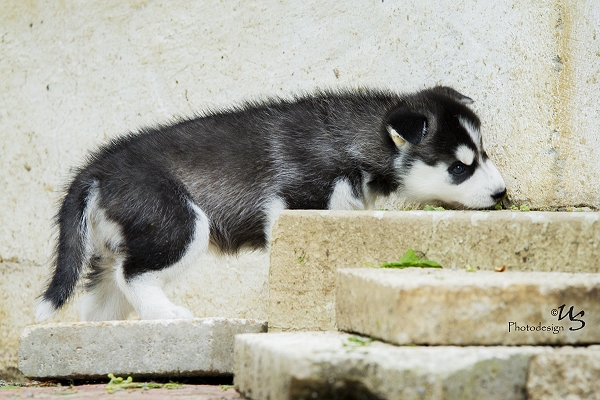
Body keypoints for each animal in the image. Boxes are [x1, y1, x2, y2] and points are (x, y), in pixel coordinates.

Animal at [35, 86, 506, 322]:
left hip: (120, 240)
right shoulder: (295, 204)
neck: (352, 142)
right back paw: (166, 314)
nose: (502, 193)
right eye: (459, 167)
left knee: (101, 295)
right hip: (180, 223)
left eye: (483, 153)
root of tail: (95, 169)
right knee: (133, 275)